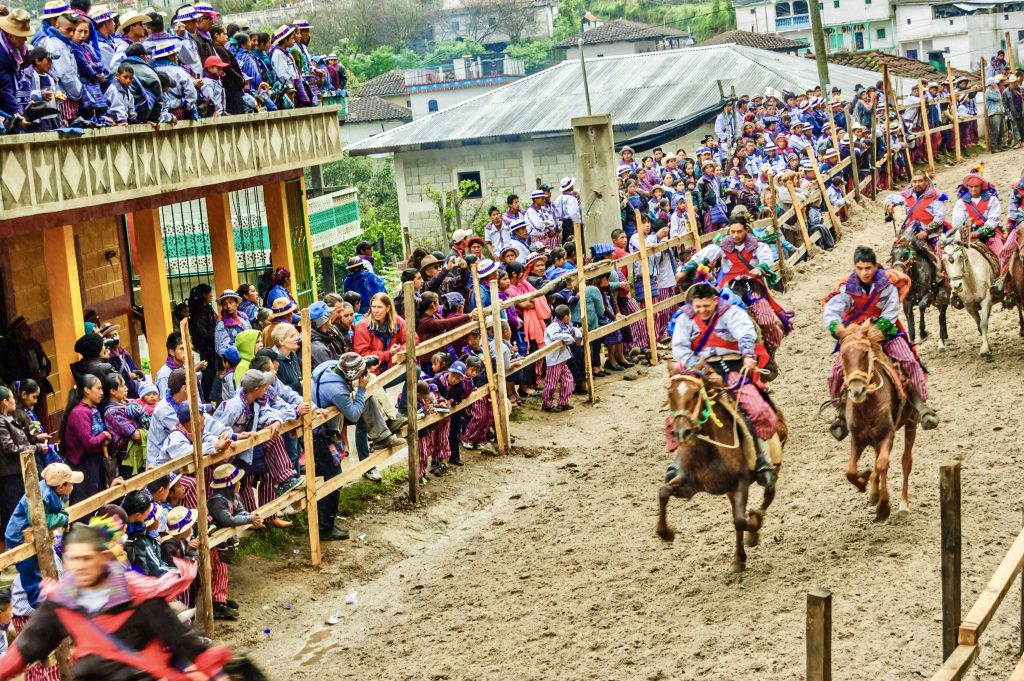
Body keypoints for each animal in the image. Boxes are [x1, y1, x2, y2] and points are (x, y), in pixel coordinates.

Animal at [659, 364, 786, 569]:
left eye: (696, 393)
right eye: (670, 394)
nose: (682, 432)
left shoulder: (740, 484)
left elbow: (741, 520)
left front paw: (754, 527)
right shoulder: (690, 485)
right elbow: (663, 492)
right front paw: (666, 533)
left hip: (773, 467)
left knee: (767, 496)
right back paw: (739, 558)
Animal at [835, 319, 917, 520]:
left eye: (865, 353)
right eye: (843, 355)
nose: (857, 391)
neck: (867, 406)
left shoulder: (887, 435)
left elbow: (882, 465)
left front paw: (884, 506)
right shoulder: (858, 439)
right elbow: (850, 471)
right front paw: (864, 481)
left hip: (911, 422)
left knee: (905, 461)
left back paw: (902, 505)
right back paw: (873, 490)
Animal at [937, 228, 995, 356]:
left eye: (960, 256)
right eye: (944, 260)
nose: (956, 286)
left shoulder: (987, 300)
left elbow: (983, 323)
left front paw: (985, 349)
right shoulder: (969, 307)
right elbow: (979, 324)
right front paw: (988, 346)